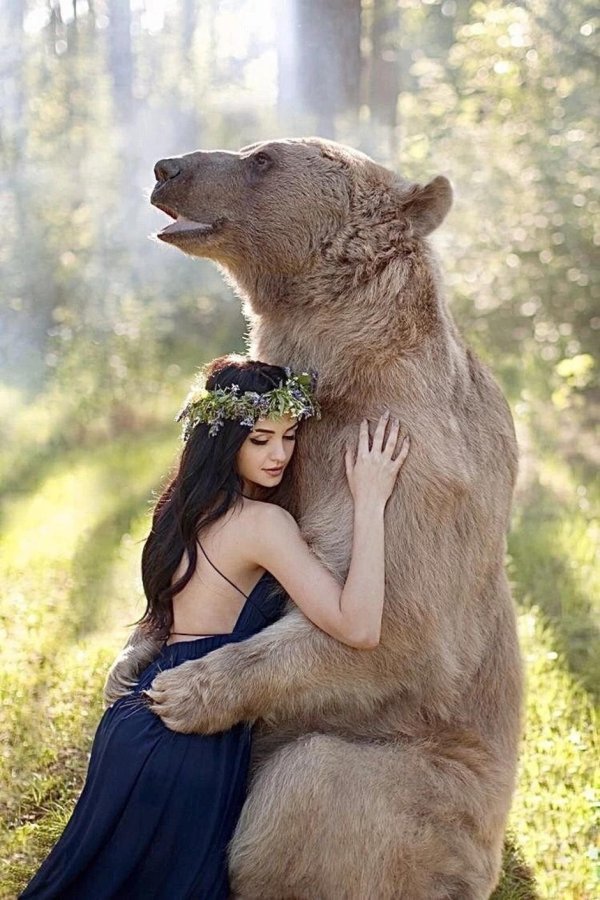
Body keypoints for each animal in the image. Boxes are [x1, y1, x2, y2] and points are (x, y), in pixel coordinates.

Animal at [106, 137, 522, 899]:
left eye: (262, 158)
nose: (165, 168)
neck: (341, 368)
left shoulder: (409, 469)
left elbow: (397, 627)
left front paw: (184, 690)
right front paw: (131, 661)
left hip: (433, 802)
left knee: (308, 787)